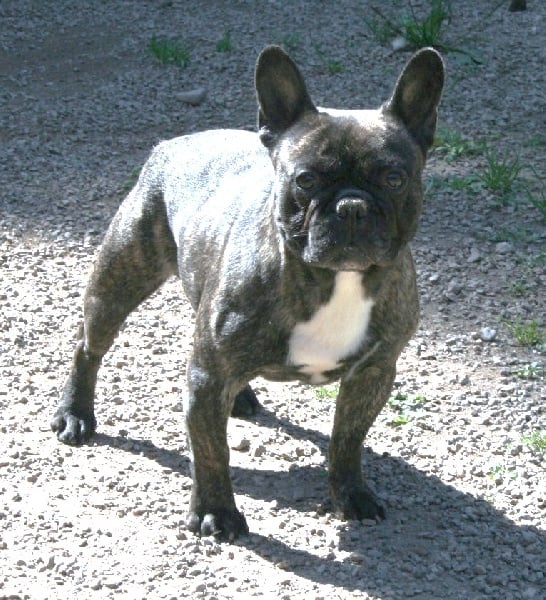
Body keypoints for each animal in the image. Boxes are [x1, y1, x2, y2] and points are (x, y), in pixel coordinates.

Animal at [51, 45, 444, 541]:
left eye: (394, 178)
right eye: (306, 180)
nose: (352, 206)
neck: (333, 279)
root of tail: (175, 143)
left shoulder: (373, 373)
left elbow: (347, 439)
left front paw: (351, 493)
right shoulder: (206, 380)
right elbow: (210, 451)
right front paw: (216, 512)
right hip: (119, 280)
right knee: (89, 346)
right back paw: (75, 413)